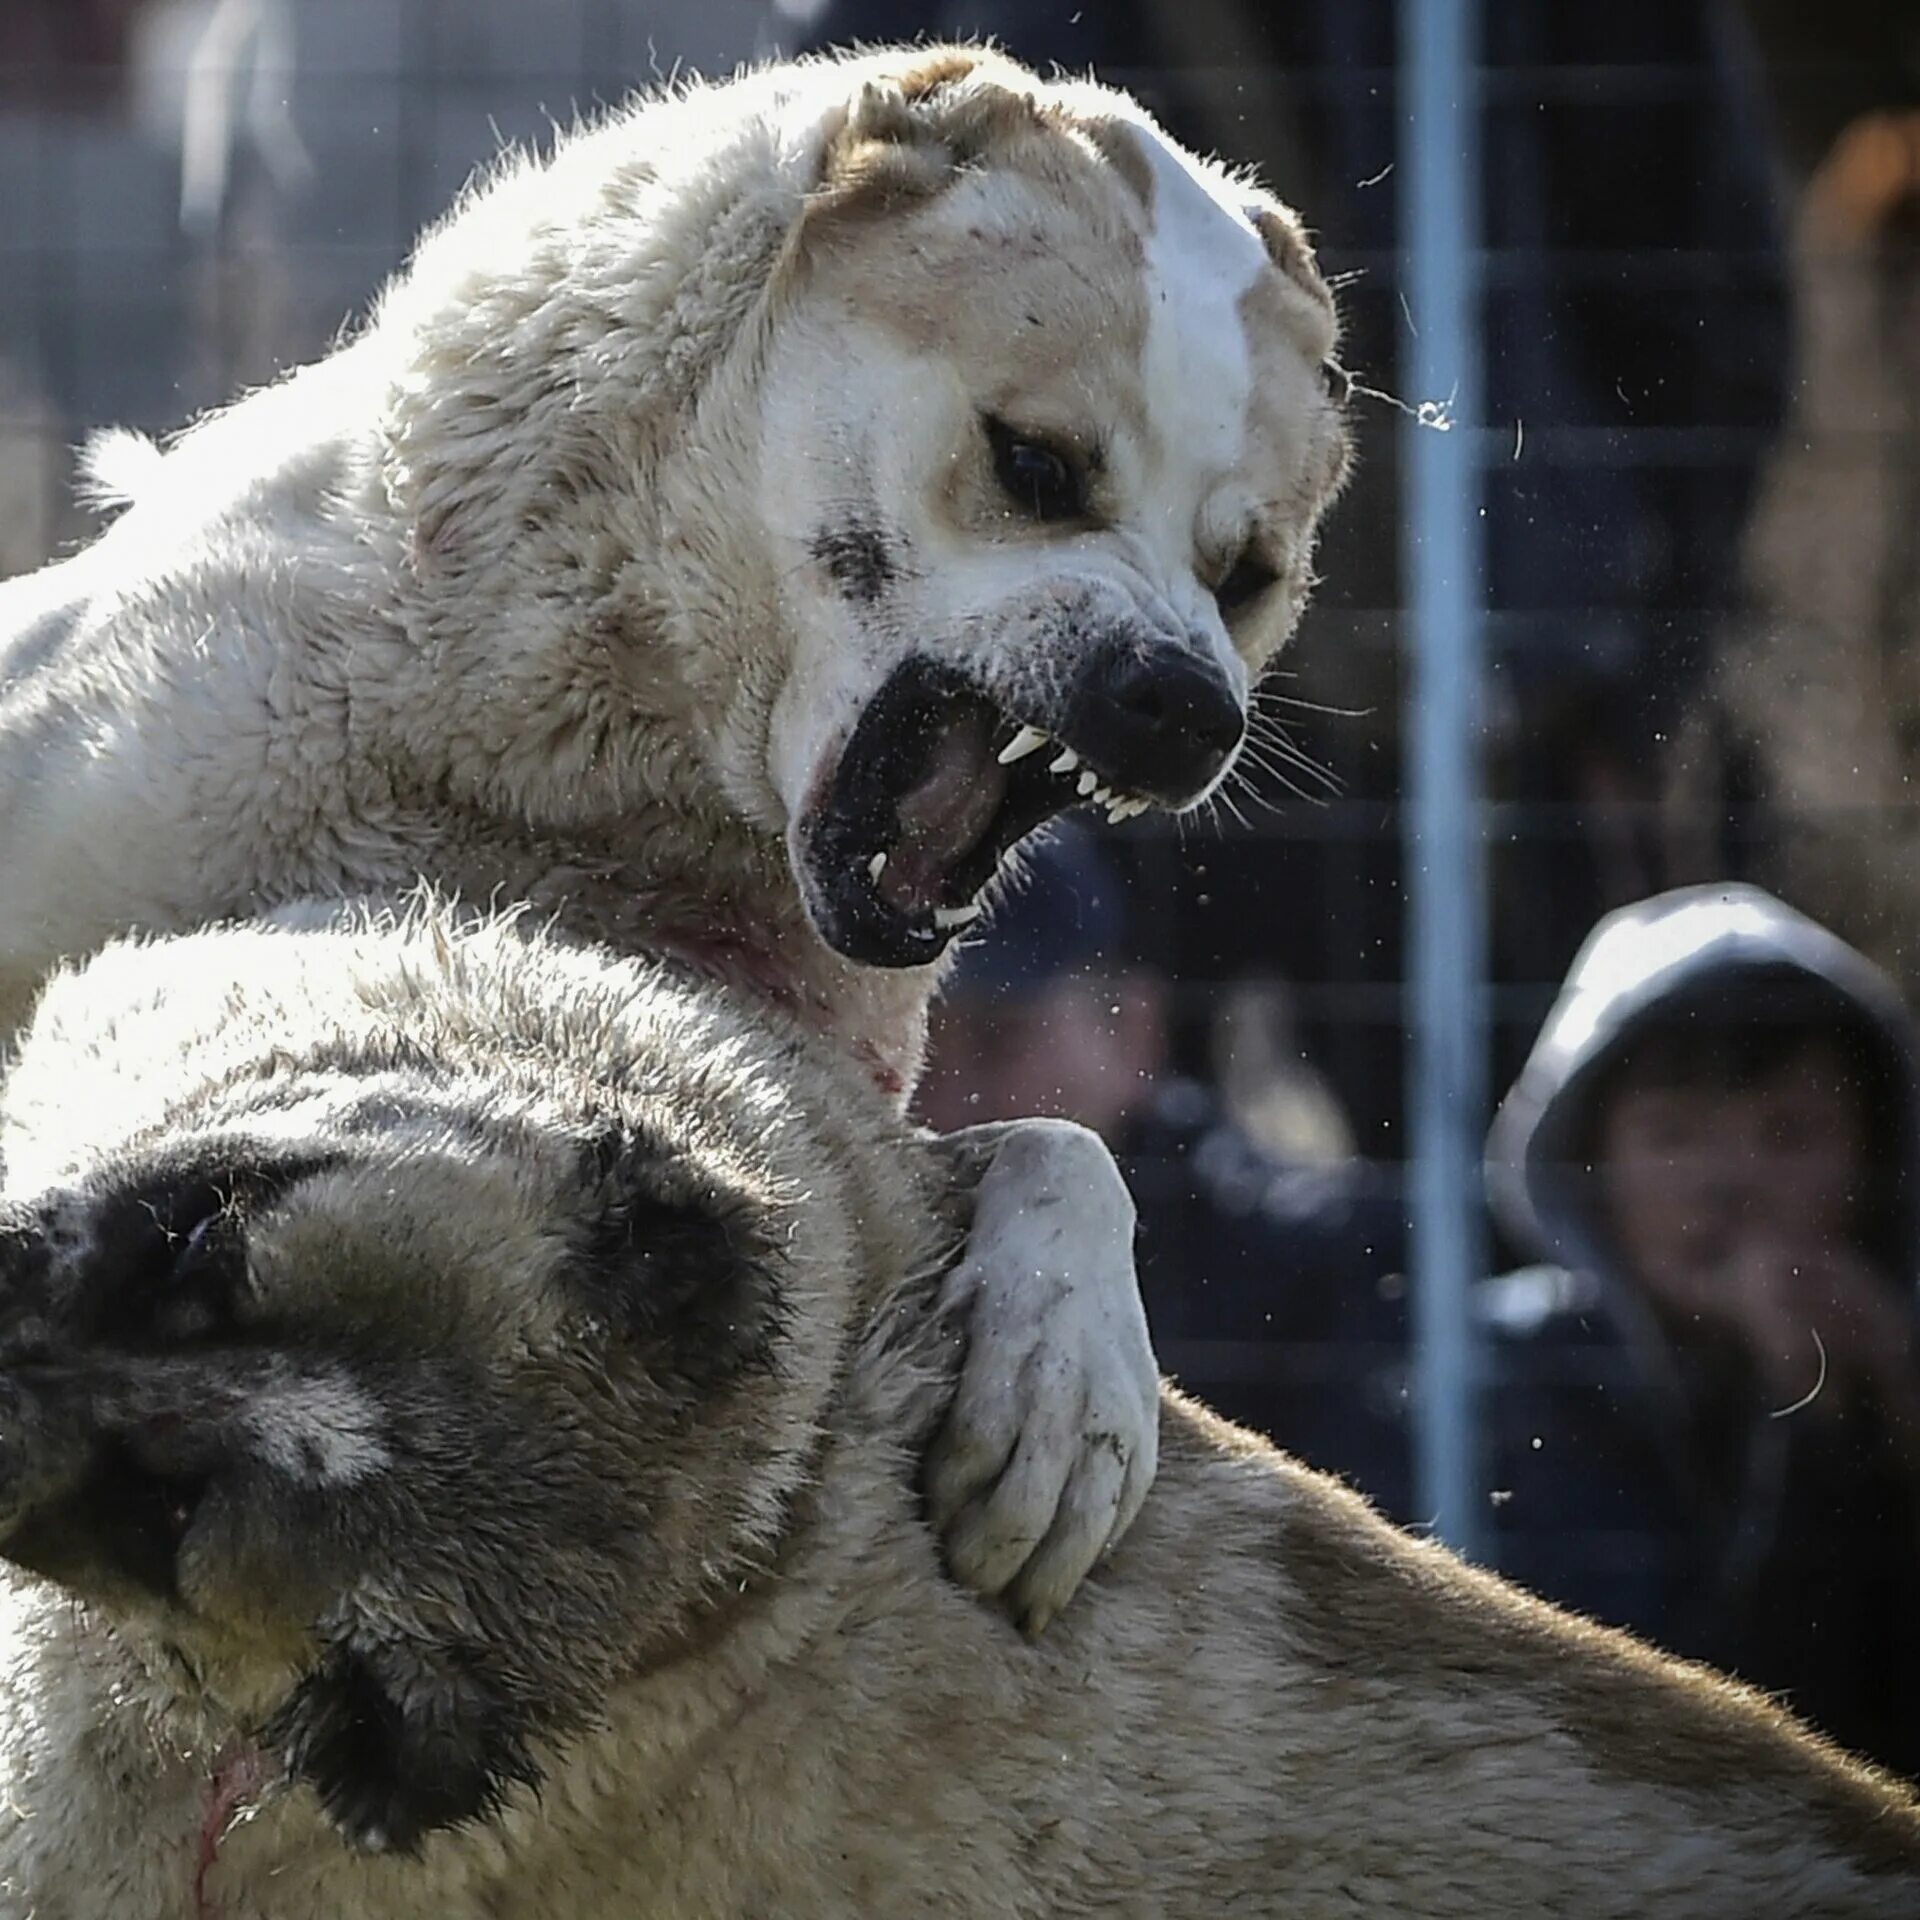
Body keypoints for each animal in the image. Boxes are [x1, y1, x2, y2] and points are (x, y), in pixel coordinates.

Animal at [0, 41, 1351, 1635]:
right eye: (1035, 466)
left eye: (1249, 576)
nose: (1185, 705)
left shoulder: (797, 1128)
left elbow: (1063, 1142)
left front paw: (1070, 1389)